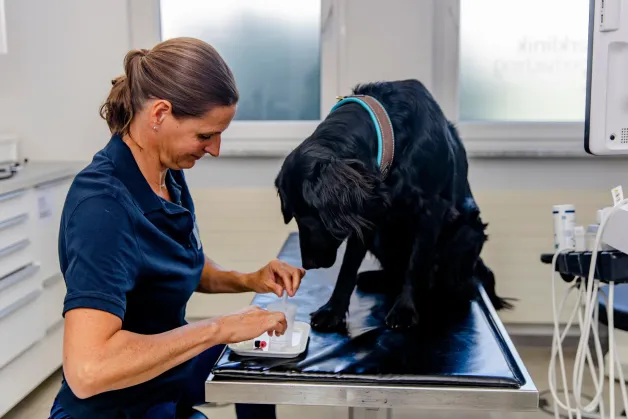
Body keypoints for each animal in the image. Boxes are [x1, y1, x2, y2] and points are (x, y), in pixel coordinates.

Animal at [274, 79, 510, 334]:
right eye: (294, 215)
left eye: (308, 215)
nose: (308, 263)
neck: (392, 135)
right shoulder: (365, 213)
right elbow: (347, 268)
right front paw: (333, 310)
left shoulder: (432, 208)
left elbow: (416, 263)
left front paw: (405, 309)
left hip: (467, 232)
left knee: (458, 284)